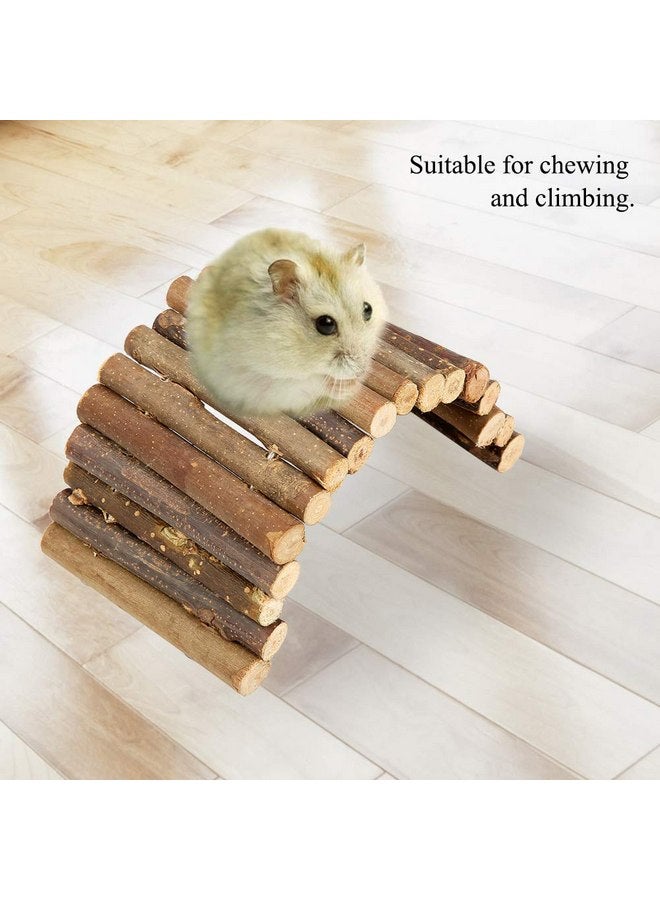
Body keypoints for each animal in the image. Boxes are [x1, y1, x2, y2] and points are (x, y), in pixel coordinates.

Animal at [186, 228, 388, 417]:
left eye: (368, 310)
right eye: (326, 324)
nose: (361, 371)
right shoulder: (253, 379)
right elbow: (302, 385)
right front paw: (344, 386)